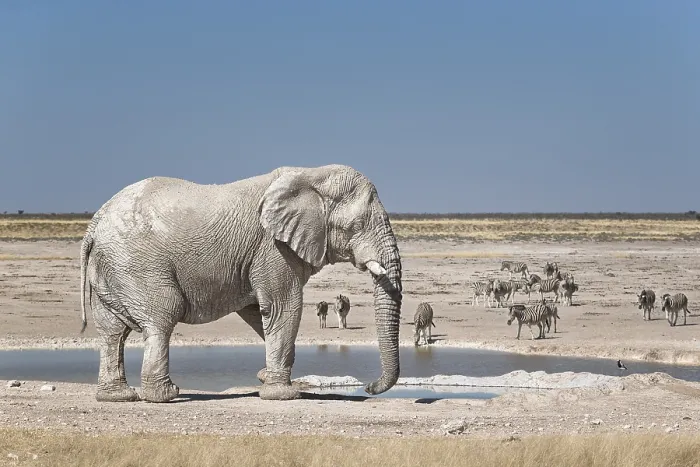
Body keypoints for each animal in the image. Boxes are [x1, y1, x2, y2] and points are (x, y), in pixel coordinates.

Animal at [79, 164, 403, 403]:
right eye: (356, 227)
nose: (368, 388)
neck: (311, 175)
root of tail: (94, 224)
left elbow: (258, 312)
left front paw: (268, 377)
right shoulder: (272, 249)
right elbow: (283, 307)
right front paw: (284, 394)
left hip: (112, 267)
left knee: (112, 331)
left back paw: (117, 397)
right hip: (137, 263)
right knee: (162, 317)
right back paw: (164, 395)